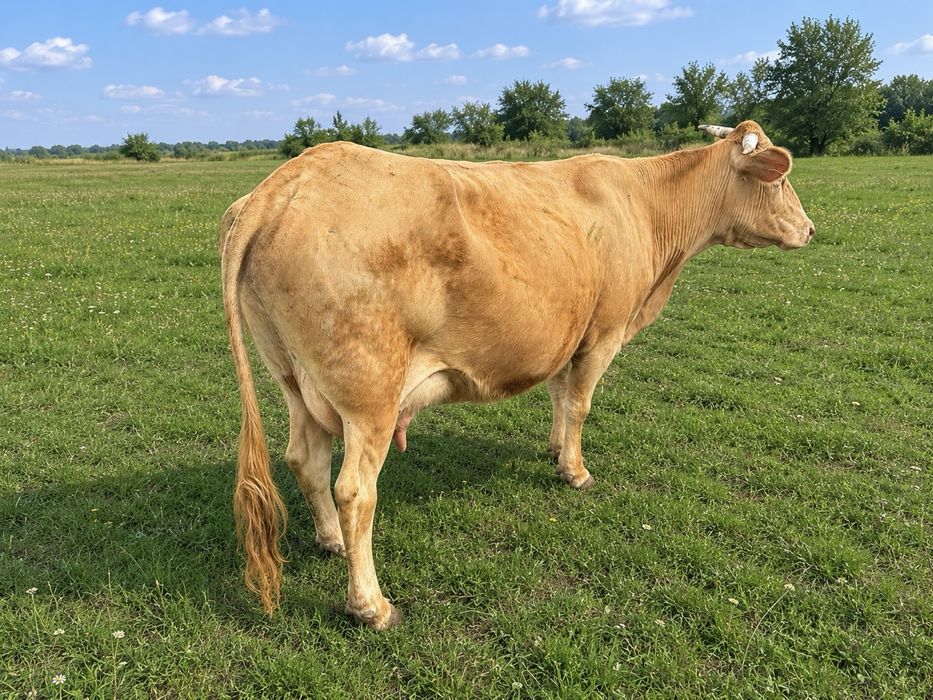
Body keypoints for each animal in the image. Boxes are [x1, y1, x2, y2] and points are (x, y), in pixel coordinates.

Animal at [219, 120, 814, 630]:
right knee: (354, 491)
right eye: (782, 178)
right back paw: (371, 605)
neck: (646, 209)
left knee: (306, 460)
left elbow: (559, 395)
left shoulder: (567, 332)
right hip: (370, 394)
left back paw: (331, 542)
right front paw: (575, 471)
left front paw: (555, 449)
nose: (810, 229)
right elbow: (580, 404)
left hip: (296, 381)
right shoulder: (603, 332)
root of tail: (286, 180)